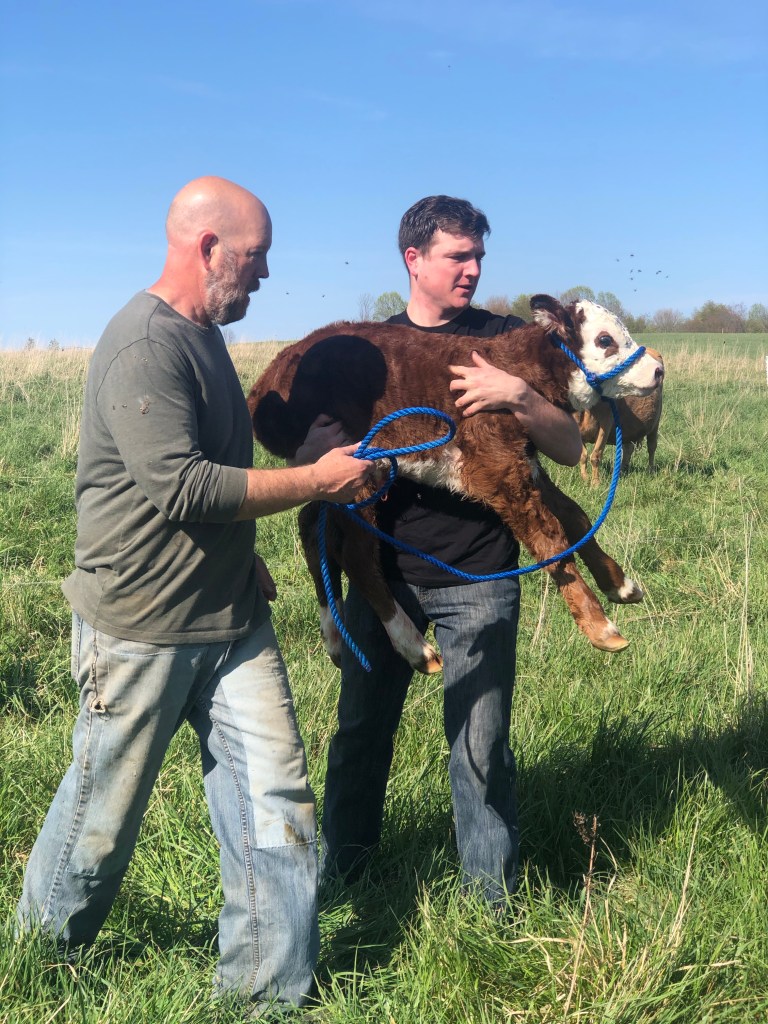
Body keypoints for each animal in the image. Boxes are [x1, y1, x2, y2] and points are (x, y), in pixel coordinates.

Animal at [575, 352, 664, 486]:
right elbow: (582, 456)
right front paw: (585, 478)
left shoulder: (606, 423)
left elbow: (596, 455)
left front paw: (596, 483)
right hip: (628, 427)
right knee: (628, 449)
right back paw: (622, 471)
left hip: (655, 423)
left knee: (652, 447)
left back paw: (650, 470)